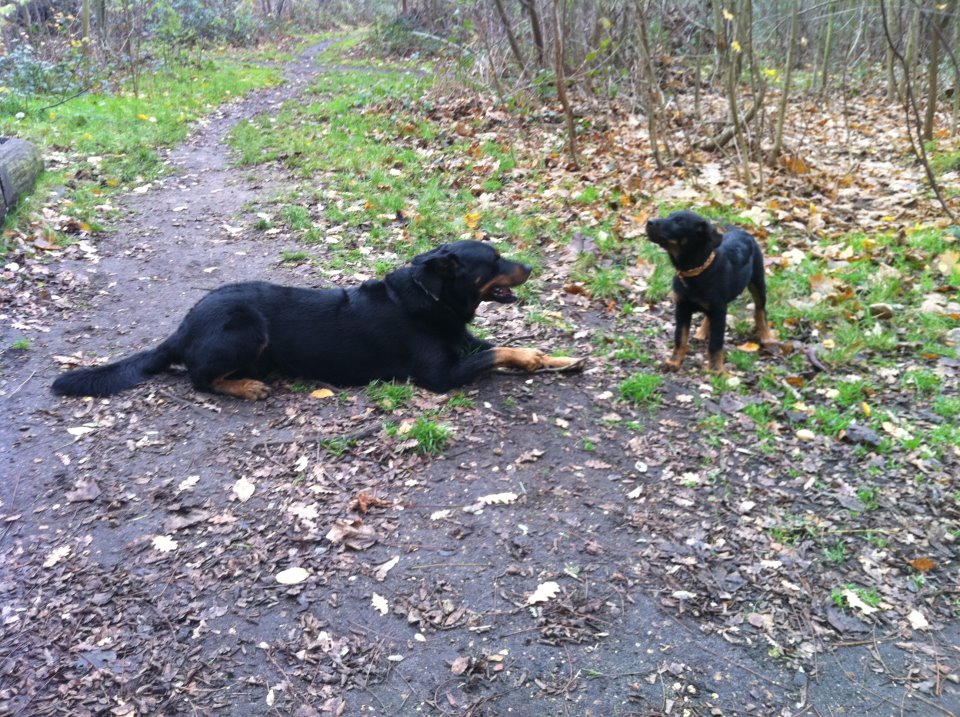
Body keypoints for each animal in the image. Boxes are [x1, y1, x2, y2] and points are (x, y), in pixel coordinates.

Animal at [52, 239, 584, 398]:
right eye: (492, 260)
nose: (532, 266)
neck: (430, 299)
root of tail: (181, 327)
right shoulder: (441, 374)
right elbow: (499, 351)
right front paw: (536, 359)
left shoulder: (464, 343)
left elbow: (508, 346)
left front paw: (554, 358)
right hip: (245, 326)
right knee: (199, 379)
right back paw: (243, 386)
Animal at [640, 210, 776, 372]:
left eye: (679, 222)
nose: (649, 221)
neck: (695, 272)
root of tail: (743, 232)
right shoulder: (682, 308)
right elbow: (680, 338)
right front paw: (674, 362)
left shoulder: (718, 310)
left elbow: (715, 343)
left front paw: (716, 370)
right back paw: (701, 332)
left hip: (757, 281)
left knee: (760, 310)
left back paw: (767, 337)